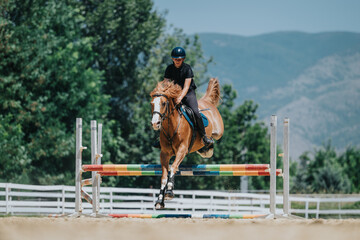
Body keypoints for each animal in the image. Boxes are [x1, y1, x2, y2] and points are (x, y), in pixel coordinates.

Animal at [150, 78, 224, 209]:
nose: (155, 123)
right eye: (152, 104)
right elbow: (164, 175)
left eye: (163, 103)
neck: (172, 126)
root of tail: (206, 100)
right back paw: (204, 149)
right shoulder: (164, 153)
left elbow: (173, 167)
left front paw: (169, 192)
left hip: (219, 131)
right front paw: (159, 200)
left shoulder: (182, 150)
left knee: (214, 137)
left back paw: (208, 143)